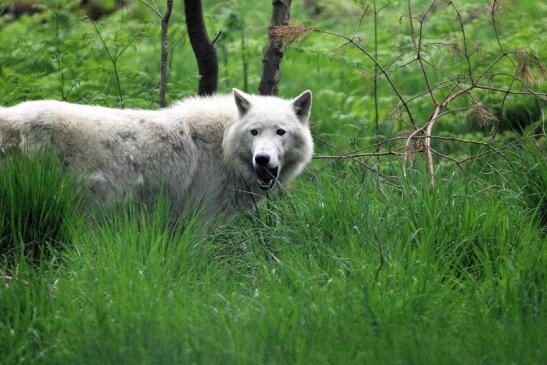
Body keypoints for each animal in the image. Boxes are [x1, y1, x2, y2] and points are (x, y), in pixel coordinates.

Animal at [0, 89, 312, 220]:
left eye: (280, 132)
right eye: (254, 132)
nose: (262, 159)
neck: (222, 146)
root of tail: (13, 115)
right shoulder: (199, 219)